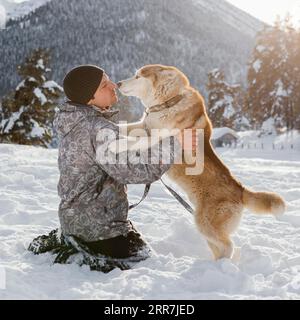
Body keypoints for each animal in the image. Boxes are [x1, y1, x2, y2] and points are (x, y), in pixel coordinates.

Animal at [116, 64, 284, 260]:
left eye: (137, 76)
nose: (118, 83)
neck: (169, 102)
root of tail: (240, 190)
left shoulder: (160, 137)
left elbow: (136, 138)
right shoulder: (143, 126)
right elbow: (124, 128)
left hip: (204, 223)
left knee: (229, 246)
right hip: (206, 228)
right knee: (221, 248)